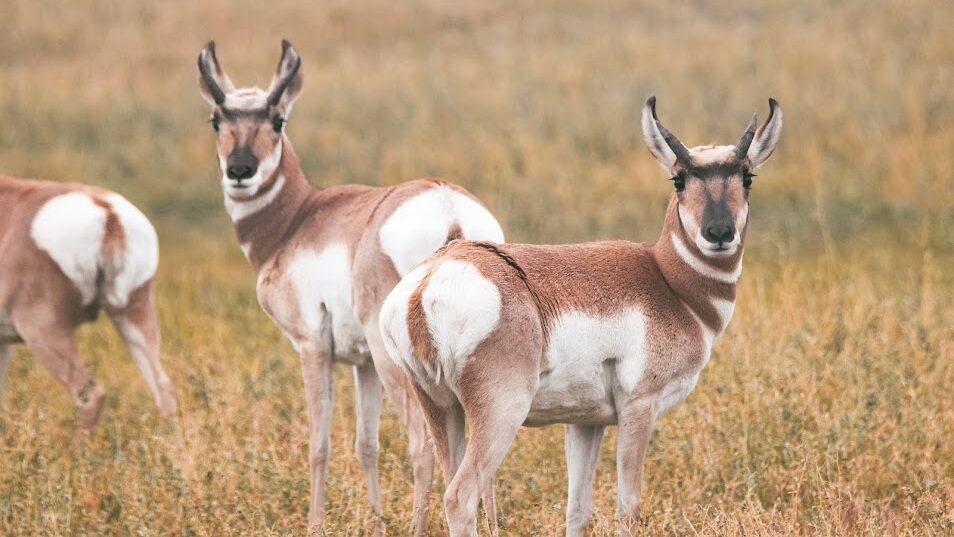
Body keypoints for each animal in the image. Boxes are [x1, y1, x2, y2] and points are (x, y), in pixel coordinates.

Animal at [0, 176, 177, 429]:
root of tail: (107, 212)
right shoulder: (3, 343)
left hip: (43, 331)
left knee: (89, 394)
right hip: (134, 315)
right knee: (164, 390)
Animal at [196, 40, 505, 534]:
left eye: (277, 119)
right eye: (216, 119)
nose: (240, 170)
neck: (299, 218)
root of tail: (447, 207)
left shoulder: (313, 348)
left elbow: (319, 446)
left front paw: (314, 524)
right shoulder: (362, 366)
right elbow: (367, 446)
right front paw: (376, 521)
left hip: (396, 361)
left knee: (421, 445)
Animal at [380, 97, 783, 536]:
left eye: (747, 176)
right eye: (678, 179)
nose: (719, 232)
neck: (667, 280)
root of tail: (427, 283)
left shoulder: (586, 422)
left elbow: (578, 509)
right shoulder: (638, 409)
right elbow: (629, 507)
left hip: (442, 410)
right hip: (501, 414)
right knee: (459, 496)